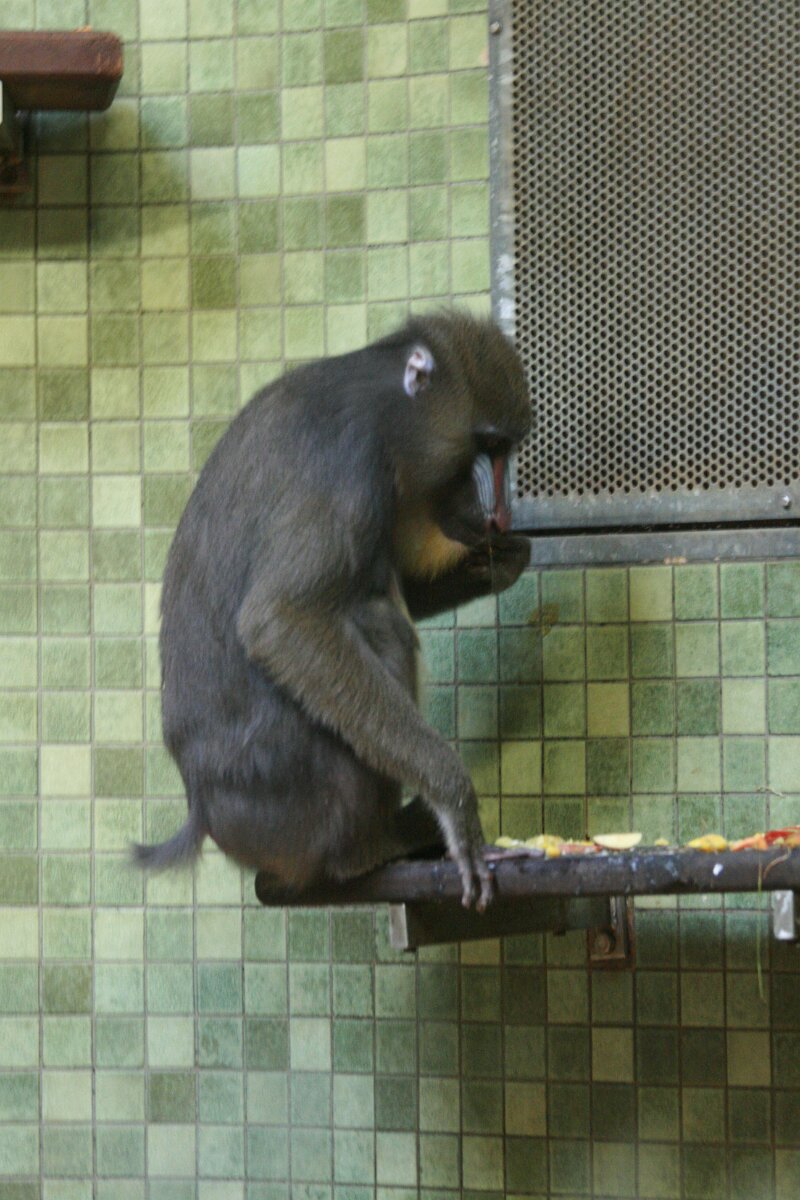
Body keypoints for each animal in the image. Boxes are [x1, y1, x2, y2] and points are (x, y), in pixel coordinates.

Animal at [134, 312, 531, 909]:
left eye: (507, 448)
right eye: (489, 446)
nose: (500, 515)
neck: (381, 407)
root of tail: (204, 809)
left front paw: (505, 561)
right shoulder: (345, 465)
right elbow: (281, 620)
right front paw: (454, 799)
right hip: (296, 810)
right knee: (377, 620)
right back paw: (370, 847)